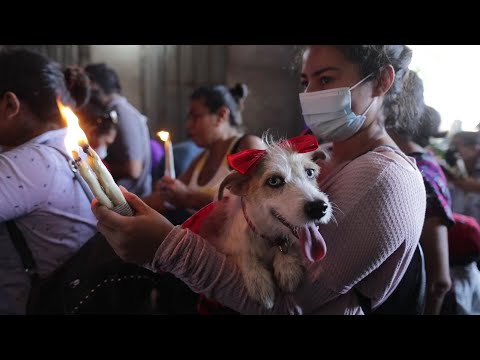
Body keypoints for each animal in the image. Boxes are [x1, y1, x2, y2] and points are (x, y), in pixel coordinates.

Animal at [197, 135, 332, 310]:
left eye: (310, 172)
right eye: (274, 181)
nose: (319, 208)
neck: (267, 236)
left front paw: (288, 267)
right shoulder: (226, 245)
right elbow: (244, 255)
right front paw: (258, 282)